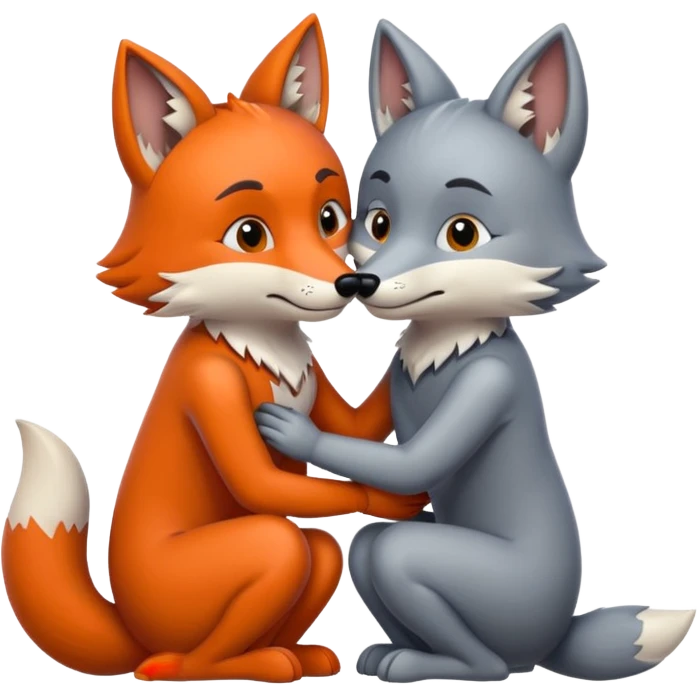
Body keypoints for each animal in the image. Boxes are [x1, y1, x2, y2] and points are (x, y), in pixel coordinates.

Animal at [0, 14, 430, 685]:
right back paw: (222, 664)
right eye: (249, 234)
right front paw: (388, 500)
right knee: (275, 549)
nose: (351, 284)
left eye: (331, 218)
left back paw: (293, 654)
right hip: (200, 584)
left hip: (302, 562)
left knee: (317, 548)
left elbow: (353, 429)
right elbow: (259, 483)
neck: (259, 346)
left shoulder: (313, 377)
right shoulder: (211, 382)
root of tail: (130, 628)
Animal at [255, 18, 696, 684]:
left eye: (462, 233)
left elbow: (413, 463)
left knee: (415, 574)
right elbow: (366, 428)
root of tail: (554, 639)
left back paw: (441, 664)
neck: (451, 341)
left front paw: (295, 433)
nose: (363, 283)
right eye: (377, 223)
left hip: (494, 592)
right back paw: (391, 654)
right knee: (371, 547)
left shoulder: (488, 382)